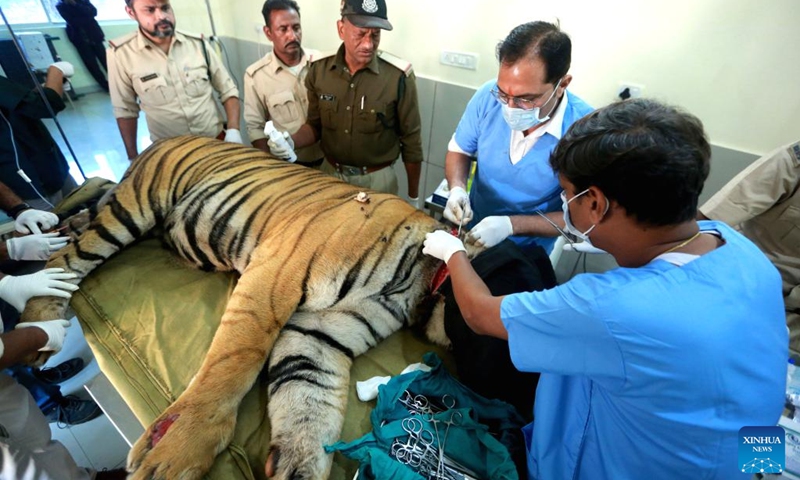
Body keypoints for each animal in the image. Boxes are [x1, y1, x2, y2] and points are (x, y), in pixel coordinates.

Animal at [18, 135, 482, 480]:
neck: (417, 287)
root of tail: (160, 141)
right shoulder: (276, 273)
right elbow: (235, 361)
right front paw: (176, 449)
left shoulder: (320, 330)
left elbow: (309, 397)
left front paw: (300, 464)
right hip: (134, 207)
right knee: (65, 257)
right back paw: (41, 322)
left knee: (76, 226)